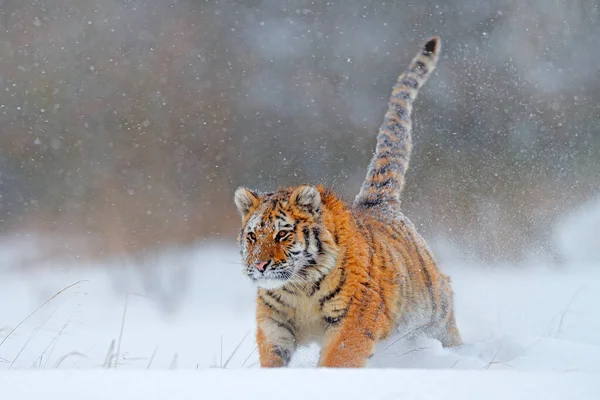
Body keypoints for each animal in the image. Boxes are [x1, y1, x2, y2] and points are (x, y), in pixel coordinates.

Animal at [232, 36, 462, 368]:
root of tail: (380, 204)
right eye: (252, 236)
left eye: (282, 234)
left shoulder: (353, 320)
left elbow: (338, 360)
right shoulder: (275, 322)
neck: (299, 287)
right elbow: (274, 358)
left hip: (436, 317)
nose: (260, 266)